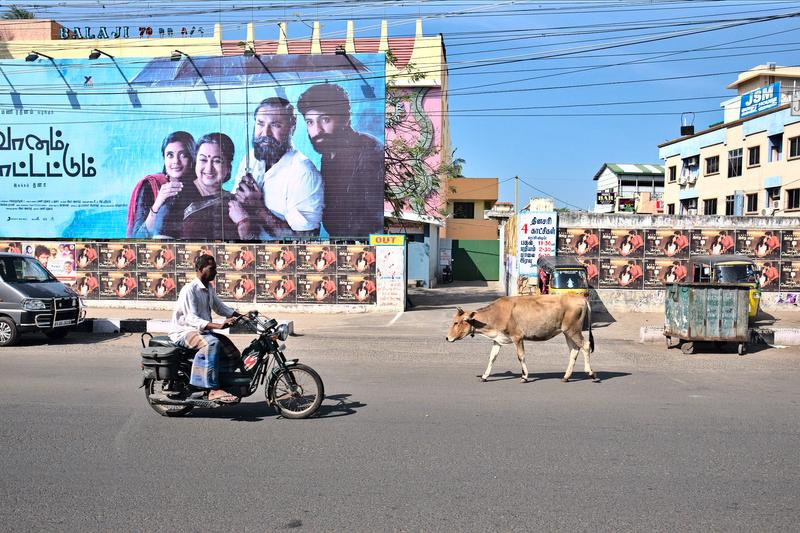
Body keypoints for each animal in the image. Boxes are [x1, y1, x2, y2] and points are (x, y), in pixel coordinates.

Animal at [446, 290, 596, 382]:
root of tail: (581, 298)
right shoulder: (498, 340)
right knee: (574, 350)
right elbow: (492, 357)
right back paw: (566, 376)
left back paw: (591, 373)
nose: (447, 338)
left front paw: (524, 376)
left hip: (573, 330)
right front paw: (484, 376)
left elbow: (521, 356)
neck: (497, 314)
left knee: (585, 345)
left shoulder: (517, 337)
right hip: (567, 332)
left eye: (456, 322)